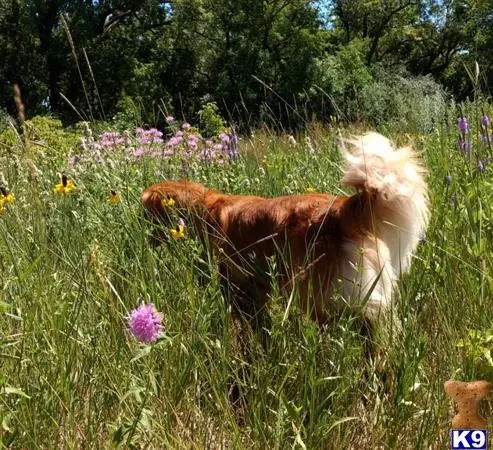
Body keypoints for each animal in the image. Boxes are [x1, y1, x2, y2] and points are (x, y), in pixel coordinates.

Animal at [141, 132, 426, 346]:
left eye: (145, 214)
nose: (141, 235)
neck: (202, 209)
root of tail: (342, 209)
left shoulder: (240, 292)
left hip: (323, 298)